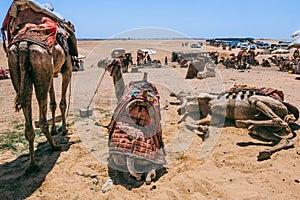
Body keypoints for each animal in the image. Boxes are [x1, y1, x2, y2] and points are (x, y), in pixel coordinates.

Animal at [1, 0, 77, 171]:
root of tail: (23, 44)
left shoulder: (51, 74)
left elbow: (52, 103)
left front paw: (55, 129)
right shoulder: (67, 69)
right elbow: (61, 103)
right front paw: (63, 130)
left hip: (16, 65)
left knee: (27, 109)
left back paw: (32, 163)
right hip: (41, 62)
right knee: (41, 117)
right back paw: (55, 146)